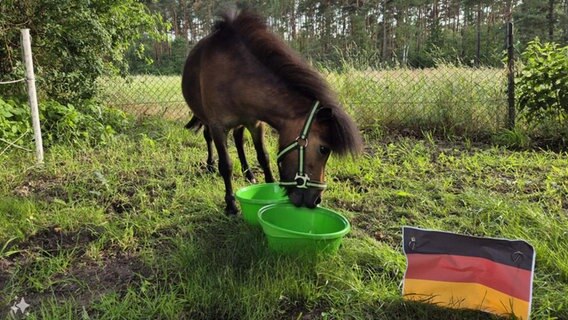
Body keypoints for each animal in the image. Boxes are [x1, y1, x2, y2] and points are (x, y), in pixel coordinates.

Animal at [182, 9, 362, 215]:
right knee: (207, 137)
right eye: (324, 149)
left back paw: (248, 173)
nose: (316, 200)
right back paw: (210, 164)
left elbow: (264, 157)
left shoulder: (255, 123)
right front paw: (231, 204)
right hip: (205, 119)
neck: (236, 76)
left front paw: (268, 186)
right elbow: (226, 165)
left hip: (241, 123)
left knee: (238, 139)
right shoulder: (218, 127)